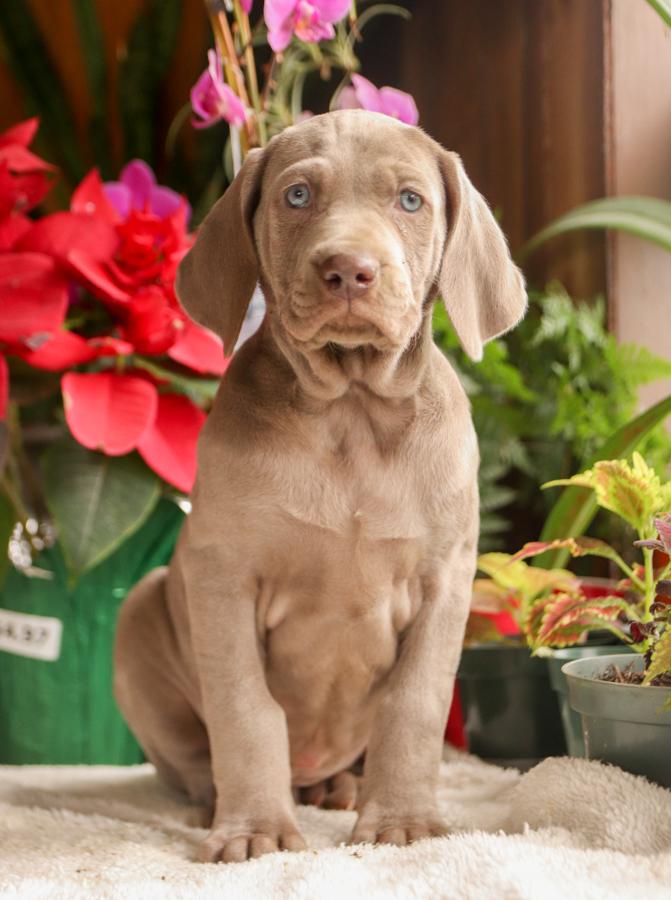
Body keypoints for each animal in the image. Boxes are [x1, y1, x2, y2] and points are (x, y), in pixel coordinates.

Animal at [114, 109, 524, 860]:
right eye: (298, 196)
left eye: (410, 200)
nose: (347, 272)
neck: (351, 411)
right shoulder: (224, 576)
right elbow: (246, 710)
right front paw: (253, 829)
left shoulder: (445, 580)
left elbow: (414, 704)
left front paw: (400, 822)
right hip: (143, 605)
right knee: (192, 757)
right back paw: (219, 802)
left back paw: (340, 789)